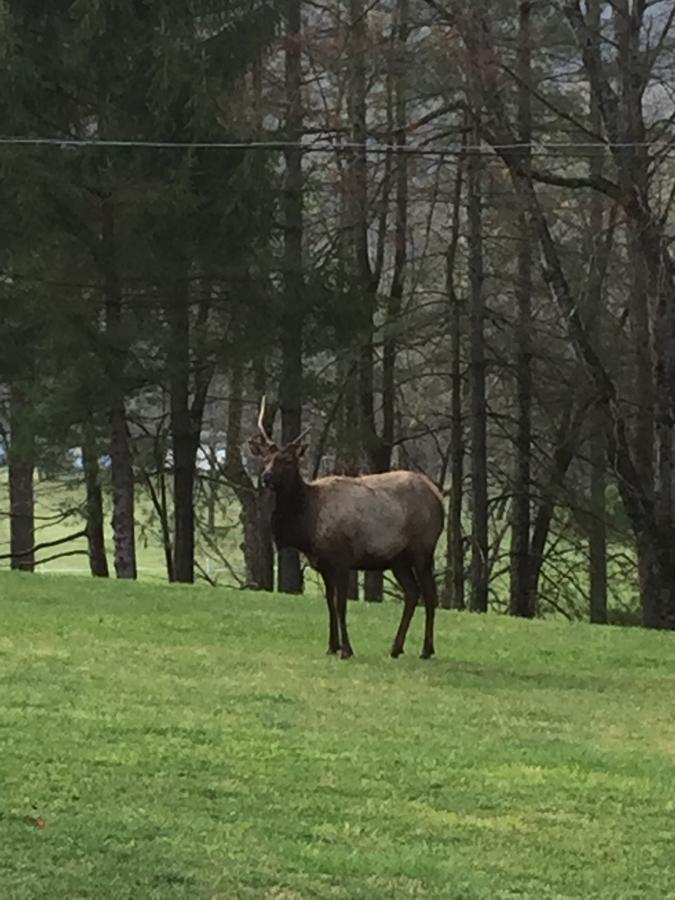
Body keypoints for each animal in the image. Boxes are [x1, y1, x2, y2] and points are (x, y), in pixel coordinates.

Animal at [248, 400, 444, 660]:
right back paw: (395, 647)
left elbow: (341, 604)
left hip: (423, 548)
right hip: (398, 559)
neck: (308, 525)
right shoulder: (322, 564)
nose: (266, 477)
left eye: (288, 460)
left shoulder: (341, 560)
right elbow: (330, 603)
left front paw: (347, 649)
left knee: (430, 594)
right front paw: (331, 646)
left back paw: (426, 650)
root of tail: (439, 497)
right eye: (266, 459)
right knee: (412, 593)